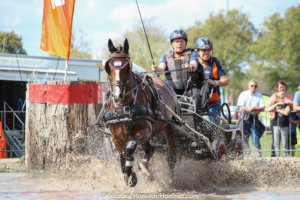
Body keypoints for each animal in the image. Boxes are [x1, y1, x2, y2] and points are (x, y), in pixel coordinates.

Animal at [103, 39, 178, 188]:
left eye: (127, 66)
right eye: (108, 67)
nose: (117, 96)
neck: (124, 106)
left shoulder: (145, 131)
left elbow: (130, 147)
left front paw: (130, 173)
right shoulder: (116, 136)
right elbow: (122, 154)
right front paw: (128, 174)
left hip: (171, 127)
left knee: (171, 156)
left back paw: (169, 179)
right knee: (149, 149)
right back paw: (146, 169)